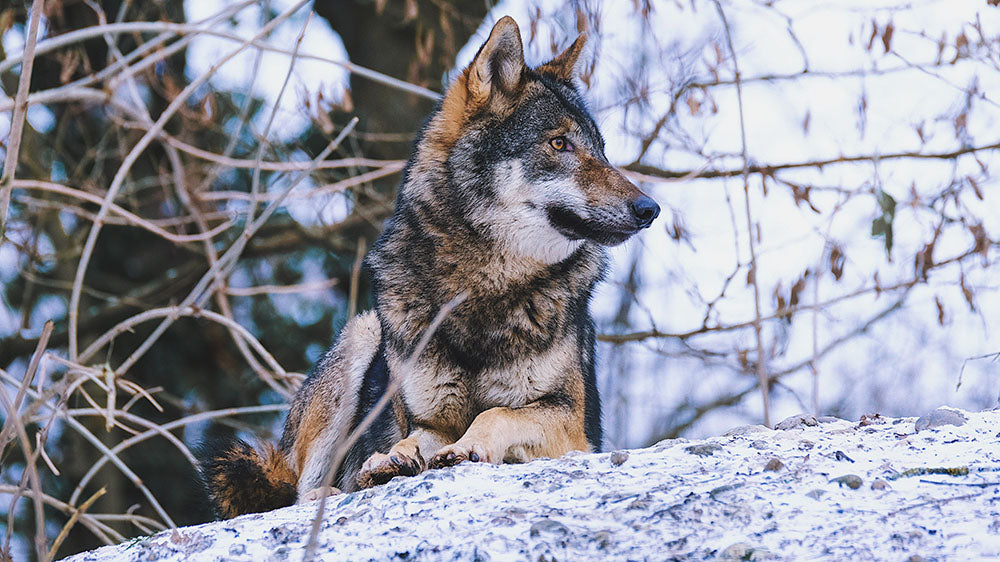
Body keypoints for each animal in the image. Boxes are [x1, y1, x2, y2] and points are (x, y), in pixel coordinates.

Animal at [198, 16, 660, 516]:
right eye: (560, 143)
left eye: (601, 150)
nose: (650, 209)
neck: (482, 287)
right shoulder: (428, 419)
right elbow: (412, 439)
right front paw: (391, 460)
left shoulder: (573, 427)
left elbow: (496, 414)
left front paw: (466, 447)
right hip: (361, 337)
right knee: (299, 490)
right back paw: (335, 489)